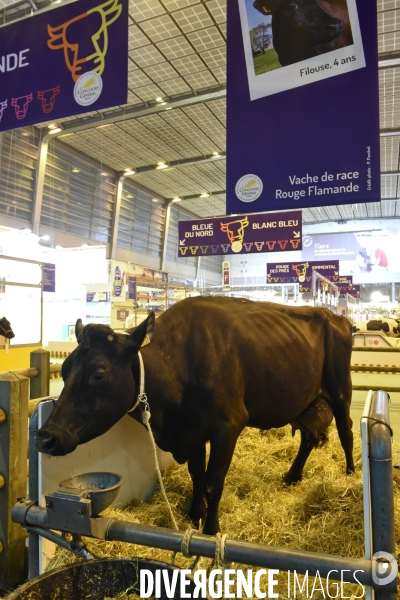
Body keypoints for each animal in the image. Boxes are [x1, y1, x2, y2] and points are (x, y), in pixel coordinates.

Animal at [35, 298, 354, 536]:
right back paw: (292, 476)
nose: (45, 437)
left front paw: (211, 530)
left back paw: (351, 476)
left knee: (347, 432)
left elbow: (213, 482)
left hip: (341, 390)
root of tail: (334, 317)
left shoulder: (228, 425)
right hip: (305, 402)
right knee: (309, 437)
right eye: (65, 369)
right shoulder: (193, 430)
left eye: (99, 374)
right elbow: (197, 475)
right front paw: (194, 515)